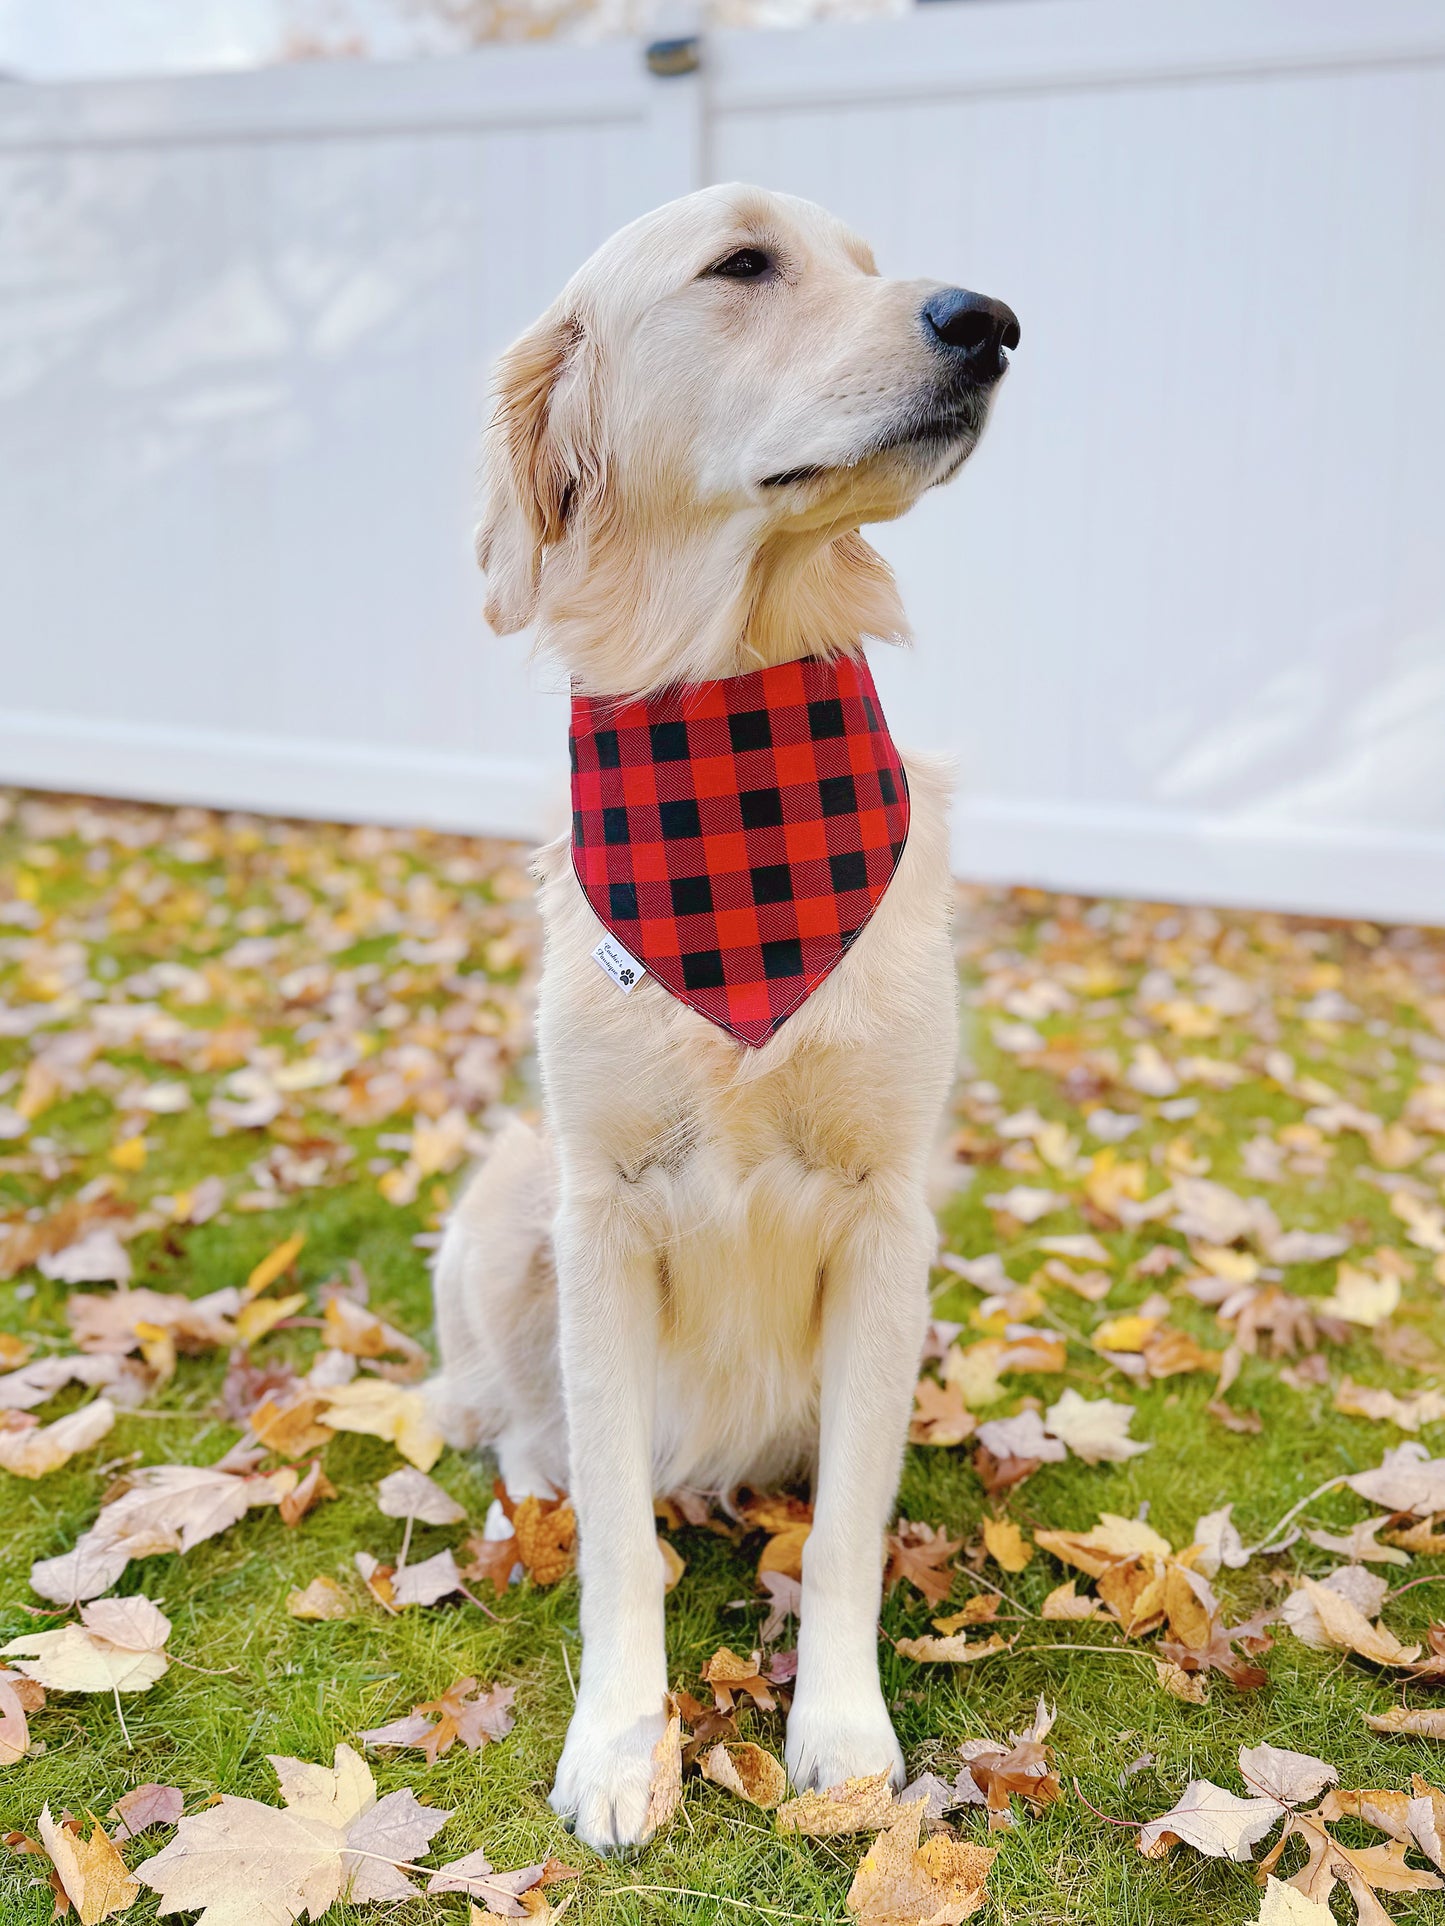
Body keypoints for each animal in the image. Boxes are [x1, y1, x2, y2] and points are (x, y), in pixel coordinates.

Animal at [433, 181, 1017, 1848]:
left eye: (873, 266)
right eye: (743, 264)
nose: (989, 321)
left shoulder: (888, 1214)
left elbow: (844, 1533)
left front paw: (842, 1728)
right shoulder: (601, 1205)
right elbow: (617, 1543)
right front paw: (624, 1744)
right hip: (505, 1202)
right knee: (521, 1419)